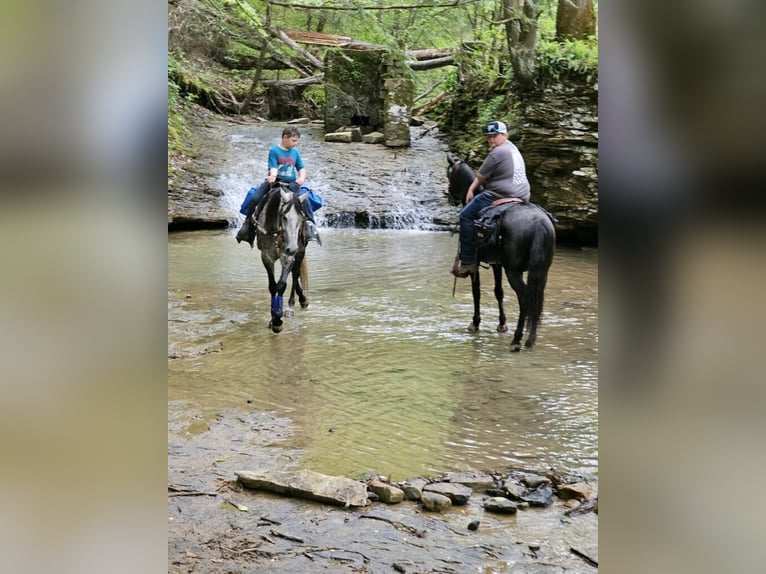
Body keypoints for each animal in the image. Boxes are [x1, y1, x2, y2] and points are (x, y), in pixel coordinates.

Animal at [254, 184, 310, 333]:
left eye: (301, 218)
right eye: (284, 217)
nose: (292, 248)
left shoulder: (287, 257)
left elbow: (281, 284)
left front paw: (277, 320)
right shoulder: (266, 257)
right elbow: (272, 286)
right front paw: (273, 318)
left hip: (300, 251)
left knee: (295, 274)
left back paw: (293, 305)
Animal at [446, 154, 556, 350]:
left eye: (449, 174)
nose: (449, 196)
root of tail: (539, 223)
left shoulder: (475, 263)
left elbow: (476, 291)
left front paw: (475, 323)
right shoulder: (496, 263)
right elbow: (499, 291)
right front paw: (502, 324)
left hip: (514, 271)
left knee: (525, 298)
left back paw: (517, 340)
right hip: (541, 271)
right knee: (537, 298)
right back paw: (530, 339)